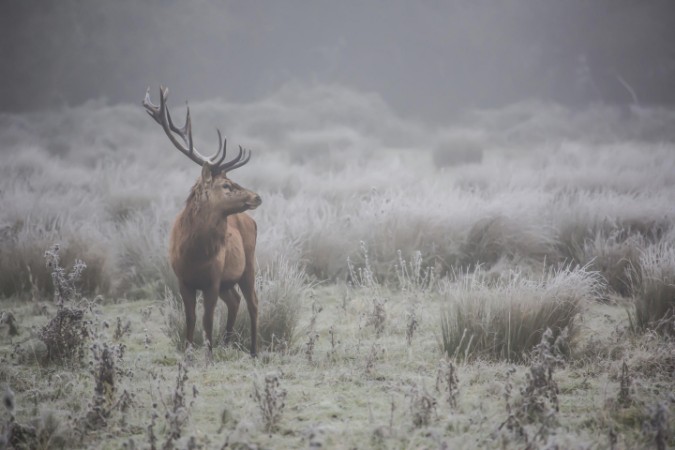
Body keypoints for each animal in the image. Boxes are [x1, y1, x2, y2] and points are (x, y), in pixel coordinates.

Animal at [143, 86, 262, 357]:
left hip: (248, 264)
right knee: (236, 301)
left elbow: (207, 320)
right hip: (230, 280)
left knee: (253, 303)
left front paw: (208, 354)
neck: (194, 253)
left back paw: (253, 351)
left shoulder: (213, 279)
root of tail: (251, 221)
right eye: (226, 185)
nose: (257, 196)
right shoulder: (183, 280)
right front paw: (189, 353)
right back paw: (227, 343)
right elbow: (190, 319)